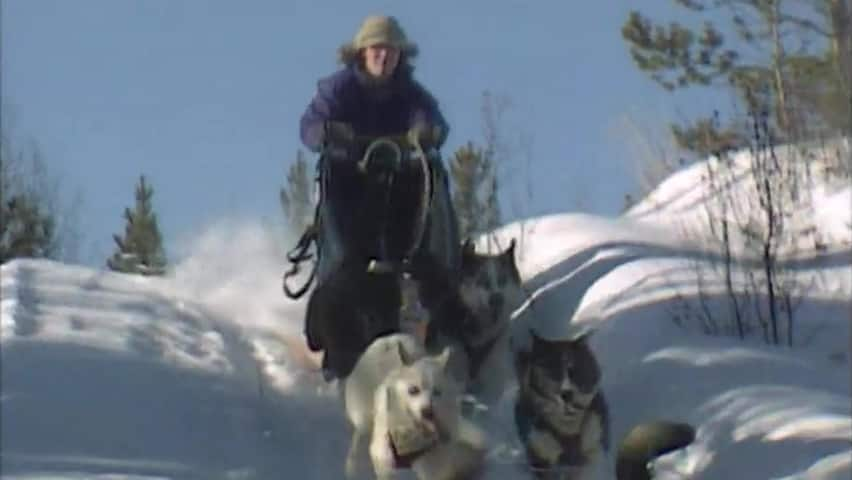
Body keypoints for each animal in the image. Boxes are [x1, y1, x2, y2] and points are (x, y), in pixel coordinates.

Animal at [340, 334, 486, 480]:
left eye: (437, 392)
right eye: (413, 390)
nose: (428, 412)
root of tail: (390, 338)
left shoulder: (431, 469)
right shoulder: (385, 463)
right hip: (363, 421)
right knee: (358, 439)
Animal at [512, 328, 692, 478]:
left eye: (574, 370)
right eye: (552, 373)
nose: (567, 394)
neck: (569, 429)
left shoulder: (593, 450)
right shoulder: (542, 460)